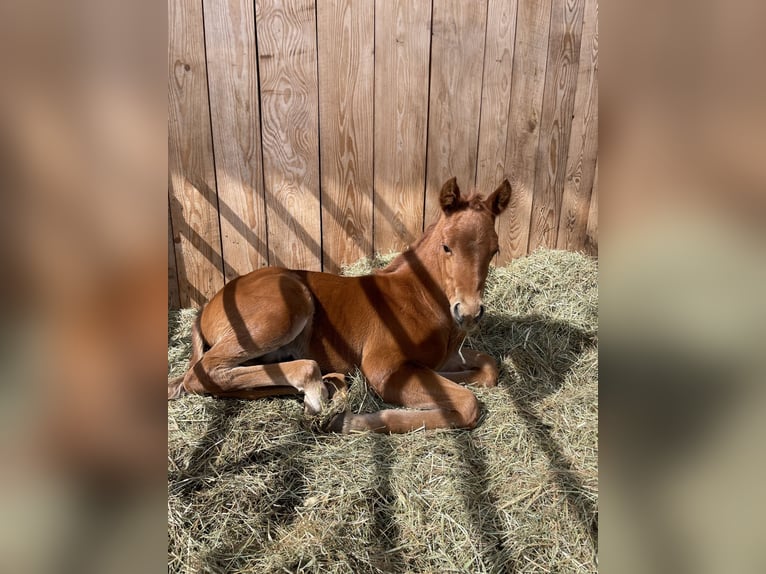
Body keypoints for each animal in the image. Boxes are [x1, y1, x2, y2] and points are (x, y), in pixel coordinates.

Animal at [168, 177, 511, 433]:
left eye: (494, 250)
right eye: (446, 247)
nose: (468, 313)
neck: (420, 298)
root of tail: (205, 308)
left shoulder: (443, 359)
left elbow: (488, 368)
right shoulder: (384, 370)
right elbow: (467, 404)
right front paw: (347, 421)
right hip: (284, 310)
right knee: (201, 373)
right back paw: (317, 392)